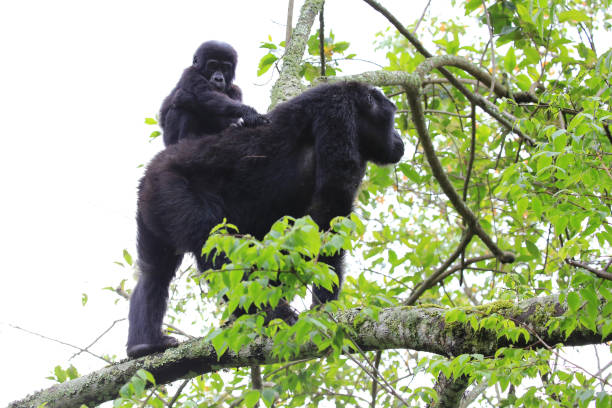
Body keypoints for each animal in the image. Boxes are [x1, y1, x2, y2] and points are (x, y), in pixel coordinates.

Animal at [128, 82, 406, 356]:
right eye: (392, 117)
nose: (398, 137)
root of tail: (149, 173)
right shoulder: (338, 114)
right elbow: (330, 212)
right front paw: (323, 307)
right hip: (172, 188)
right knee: (216, 246)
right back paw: (271, 315)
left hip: (154, 208)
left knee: (153, 273)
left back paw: (144, 344)